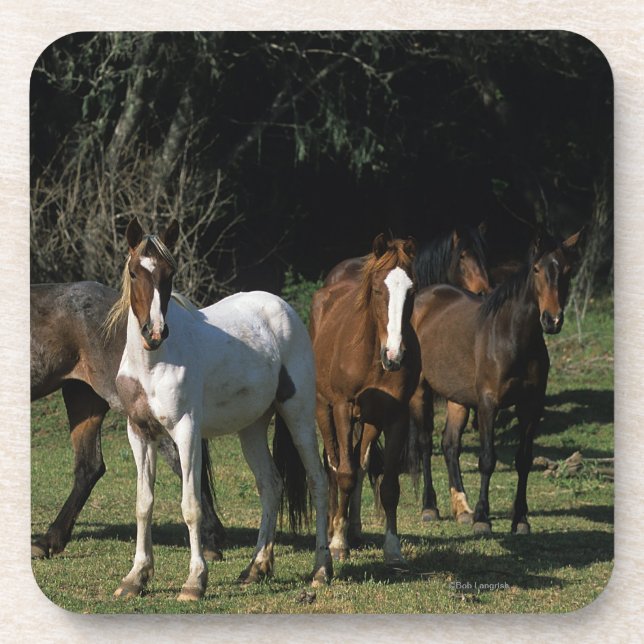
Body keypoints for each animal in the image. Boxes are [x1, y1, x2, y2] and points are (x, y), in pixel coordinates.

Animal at [109, 218, 331, 601]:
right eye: (135, 272)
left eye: (169, 273)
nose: (155, 332)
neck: (153, 363)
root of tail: (283, 308)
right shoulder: (139, 433)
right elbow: (143, 504)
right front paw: (136, 578)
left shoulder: (186, 432)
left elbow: (191, 506)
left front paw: (195, 581)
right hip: (252, 428)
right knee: (271, 485)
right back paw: (256, 568)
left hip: (299, 416)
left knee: (318, 482)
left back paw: (320, 570)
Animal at [310, 233, 420, 564]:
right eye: (377, 289)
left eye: (412, 290)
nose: (394, 355)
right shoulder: (343, 408)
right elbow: (344, 473)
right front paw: (337, 543)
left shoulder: (396, 416)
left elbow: (389, 486)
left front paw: (393, 549)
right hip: (324, 410)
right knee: (334, 464)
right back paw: (335, 527)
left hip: (369, 421)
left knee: (360, 464)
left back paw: (352, 528)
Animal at [410, 229, 581, 533]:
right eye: (536, 269)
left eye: (568, 271)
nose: (552, 320)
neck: (511, 335)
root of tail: (423, 297)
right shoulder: (488, 405)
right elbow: (487, 460)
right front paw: (482, 519)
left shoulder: (531, 407)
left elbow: (523, 461)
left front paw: (520, 520)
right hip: (421, 392)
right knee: (425, 444)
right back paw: (430, 507)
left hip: (457, 398)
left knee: (450, 445)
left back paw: (462, 509)